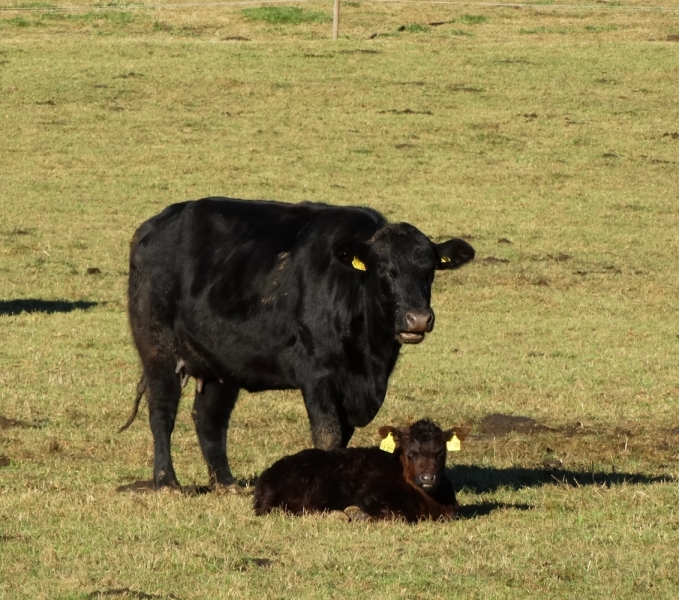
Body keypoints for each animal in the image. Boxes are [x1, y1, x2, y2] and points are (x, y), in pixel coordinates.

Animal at [121, 199, 472, 490]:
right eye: (386, 270)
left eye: (430, 270)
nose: (418, 319)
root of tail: (153, 226)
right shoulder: (317, 374)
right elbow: (328, 436)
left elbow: (341, 438)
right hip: (157, 348)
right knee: (162, 411)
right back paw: (166, 482)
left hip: (219, 363)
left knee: (210, 418)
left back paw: (226, 483)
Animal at [255, 420, 468, 524]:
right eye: (410, 453)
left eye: (441, 452)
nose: (428, 477)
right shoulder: (370, 495)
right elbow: (400, 515)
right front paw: (358, 514)